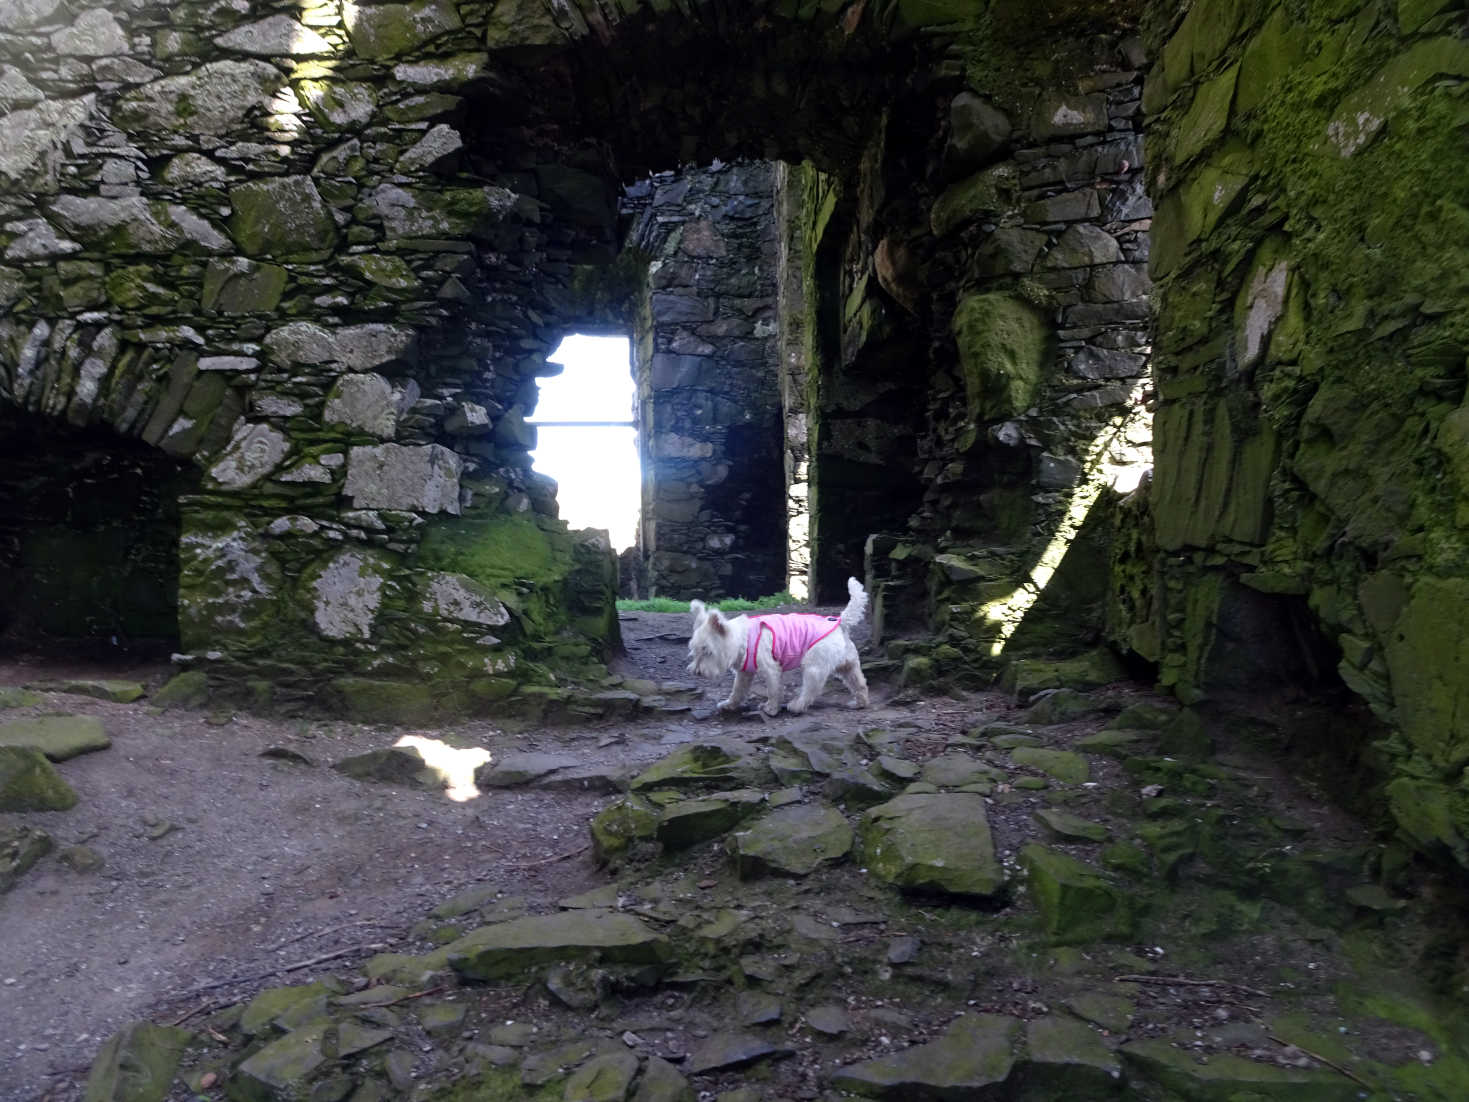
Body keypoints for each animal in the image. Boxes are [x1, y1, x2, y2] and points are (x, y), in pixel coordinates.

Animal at [684, 573, 863, 719]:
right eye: (694, 652)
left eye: (708, 652)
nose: (697, 672)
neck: (743, 639)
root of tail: (840, 622)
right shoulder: (744, 672)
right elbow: (737, 690)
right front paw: (729, 705)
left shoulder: (771, 668)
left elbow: (773, 690)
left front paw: (770, 709)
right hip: (847, 665)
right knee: (859, 683)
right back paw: (860, 703)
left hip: (814, 666)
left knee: (810, 689)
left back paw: (796, 706)